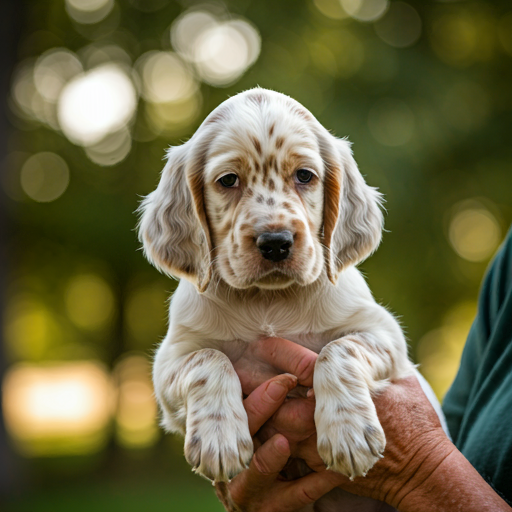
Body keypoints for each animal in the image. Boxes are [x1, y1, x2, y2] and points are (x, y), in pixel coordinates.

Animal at [138, 89, 442, 496]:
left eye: (304, 176)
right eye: (228, 180)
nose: (276, 243)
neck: (270, 300)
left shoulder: (385, 335)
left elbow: (337, 350)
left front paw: (349, 434)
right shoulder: (170, 361)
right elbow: (209, 359)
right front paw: (220, 440)